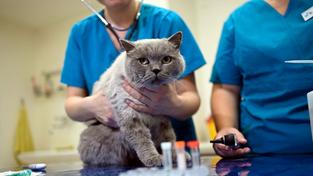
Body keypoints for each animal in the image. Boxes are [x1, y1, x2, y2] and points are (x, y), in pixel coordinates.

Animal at [78, 31, 185, 166]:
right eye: (143, 61)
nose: (156, 70)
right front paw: (154, 159)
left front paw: (175, 156)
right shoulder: (130, 116)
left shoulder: (161, 117)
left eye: (166, 59)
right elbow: (142, 140)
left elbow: (169, 138)